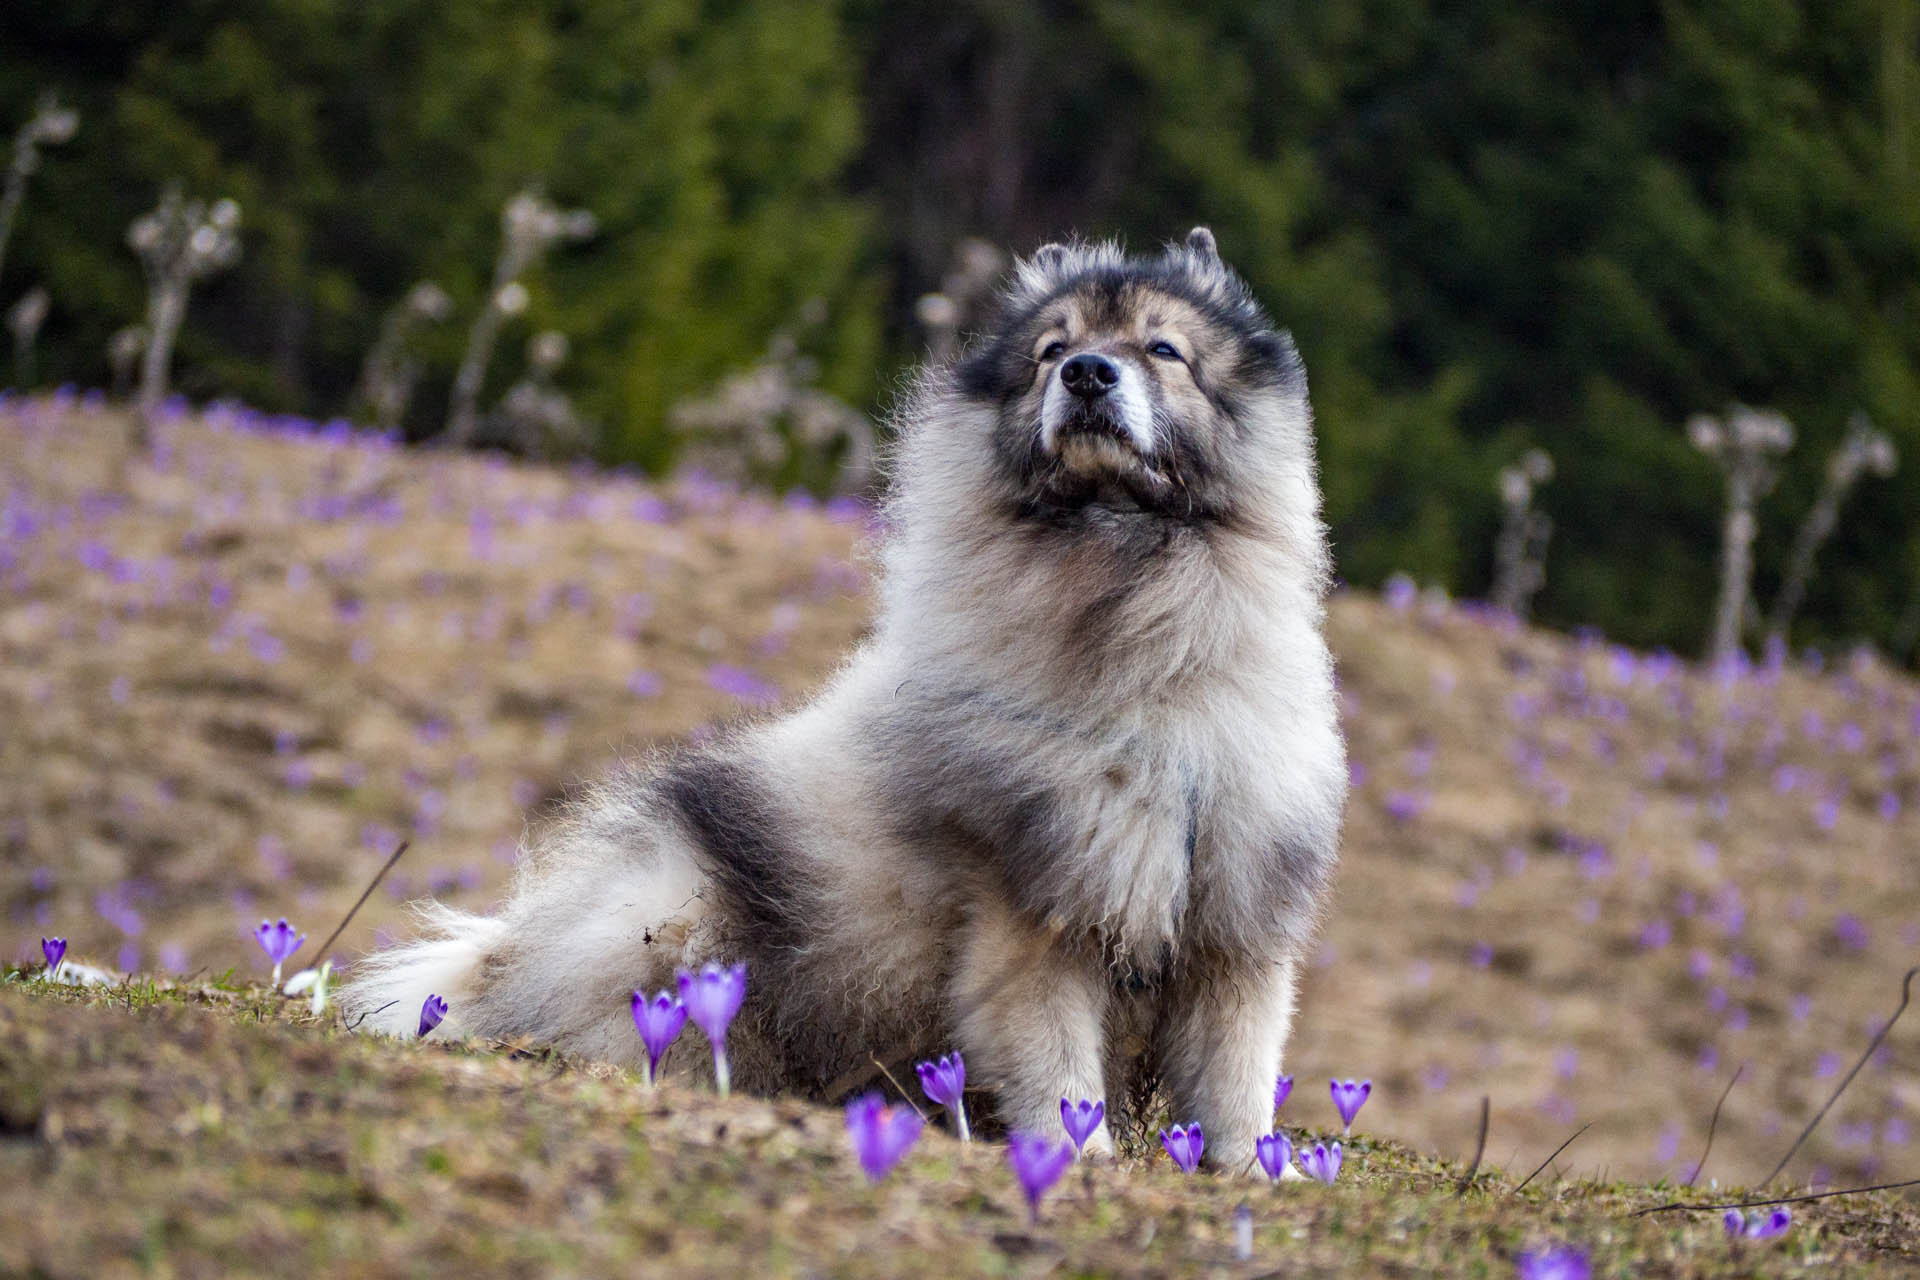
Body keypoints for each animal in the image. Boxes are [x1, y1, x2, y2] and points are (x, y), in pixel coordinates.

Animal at [341, 227, 1351, 1174]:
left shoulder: (1237, 927)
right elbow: (1060, 1070)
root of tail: (507, 955)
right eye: (1051, 350)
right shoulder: (1033, 916)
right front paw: (1080, 1158)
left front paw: (1255, 1173)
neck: (1136, 634)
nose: (1087, 373)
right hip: (684, 925)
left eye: (1163, 349)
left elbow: (1236, 1077)